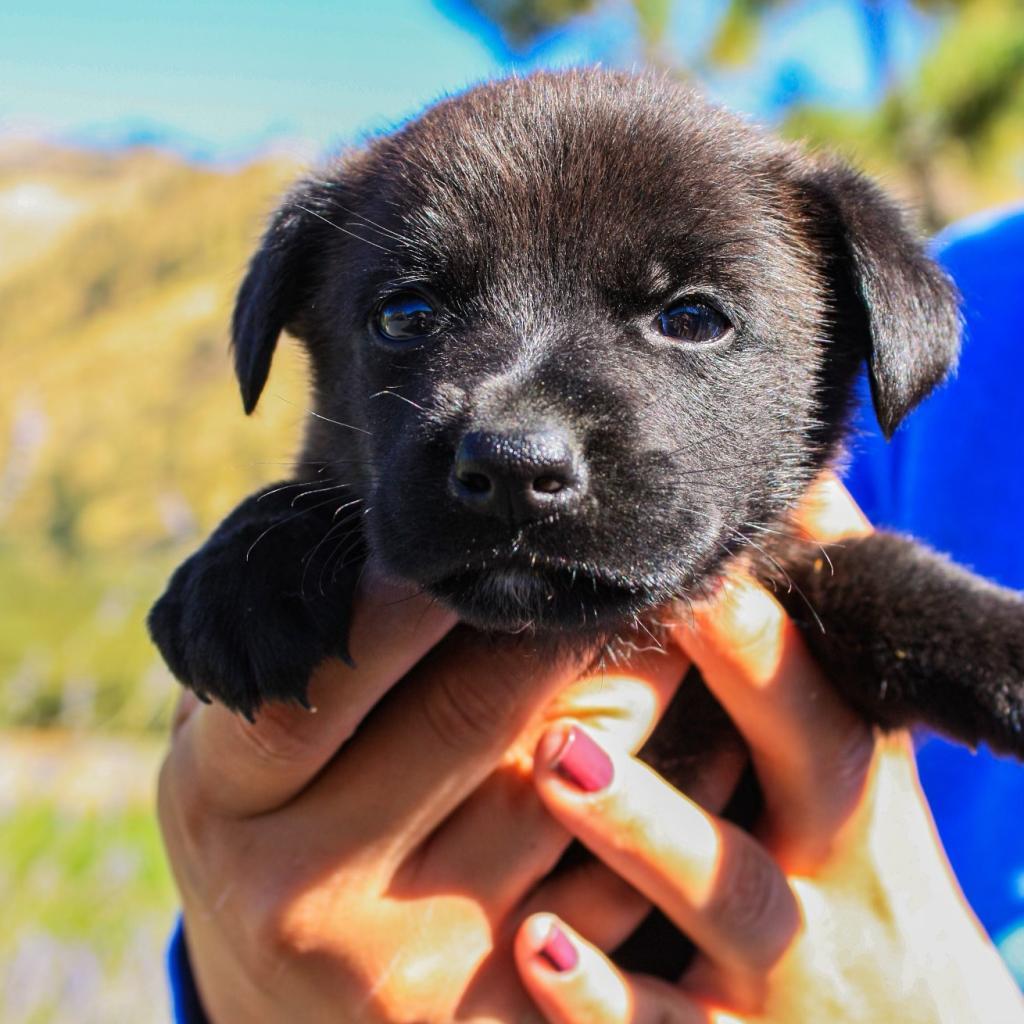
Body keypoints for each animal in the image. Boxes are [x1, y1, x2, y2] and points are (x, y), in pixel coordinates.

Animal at [148, 68, 1019, 761]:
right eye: (405, 316)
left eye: (692, 318)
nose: (511, 468)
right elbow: (314, 494)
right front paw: (241, 577)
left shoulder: (792, 584)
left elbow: (880, 571)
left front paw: (998, 644)